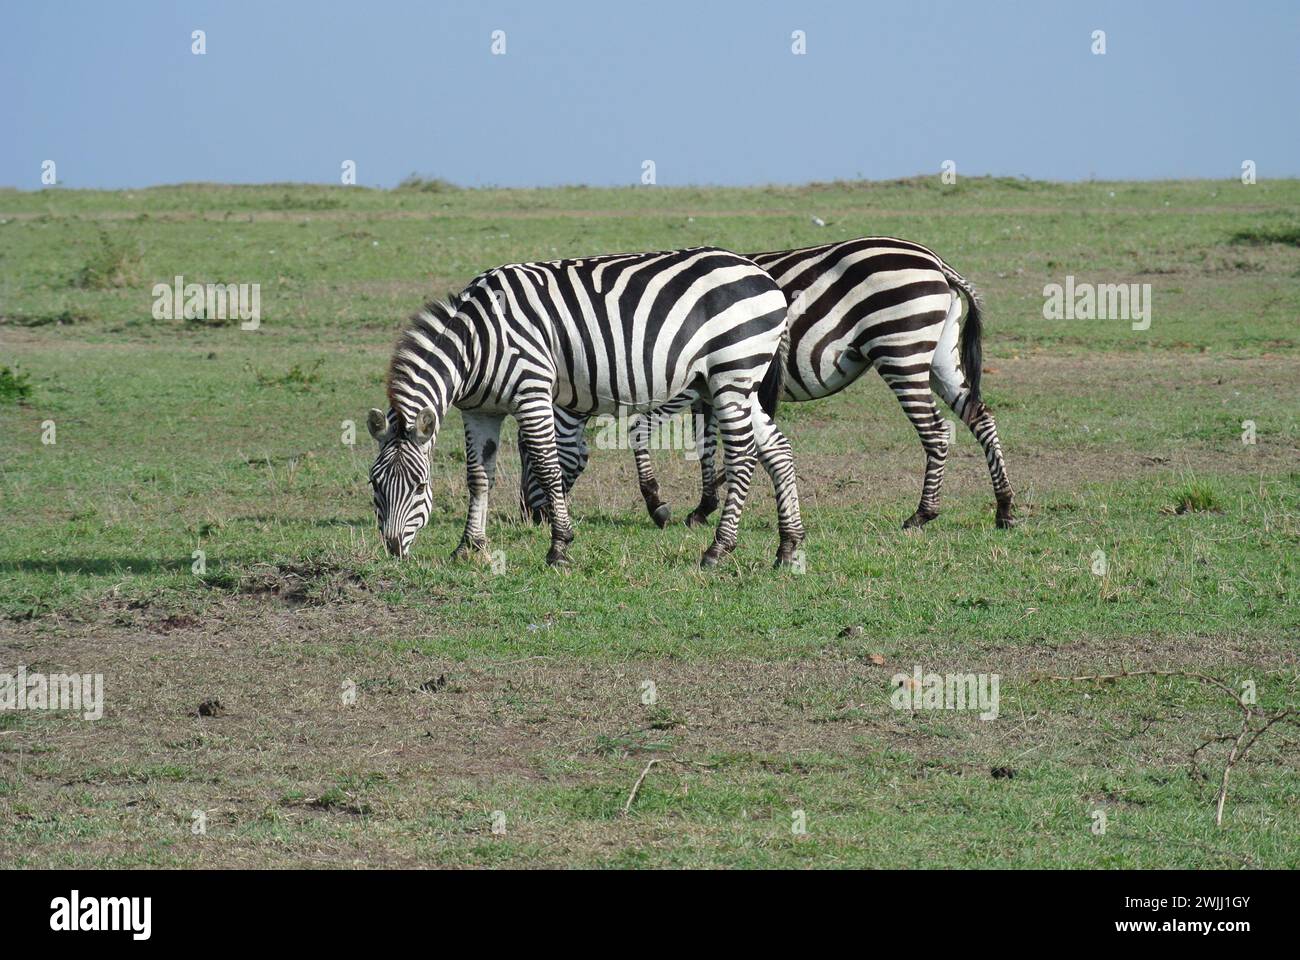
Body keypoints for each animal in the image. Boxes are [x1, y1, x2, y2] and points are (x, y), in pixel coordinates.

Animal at [366, 243, 806, 567]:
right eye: (374, 484)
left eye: (419, 486)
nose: (394, 550)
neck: (477, 343)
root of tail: (762, 274)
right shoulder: (480, 410)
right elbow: (479, 476)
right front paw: (468, 547)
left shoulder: (532, 392)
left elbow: (548, 468)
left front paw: (559, 547)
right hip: (731, 381)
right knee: (778, 450)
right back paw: (788, 548)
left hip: (733, 372)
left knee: (744, 455)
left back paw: (718, 549)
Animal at [517, 234, 1013, 528]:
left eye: (526, 453)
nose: (528, 517)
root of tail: (936, 261)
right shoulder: (708, 389)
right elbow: (707, 447)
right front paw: (704, 505)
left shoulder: (683, 386)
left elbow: (641, 430)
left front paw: (660, 504)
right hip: (937, 355)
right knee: (980, 417)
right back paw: (1005, 508)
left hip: (901, 350)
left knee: (937, 432)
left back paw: (922, 514)